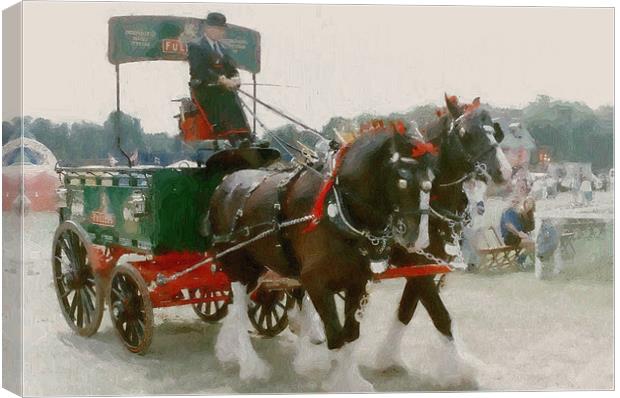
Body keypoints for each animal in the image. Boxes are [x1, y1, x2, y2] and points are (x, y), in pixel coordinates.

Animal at [208, 125, 436, 388]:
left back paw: (228, 350)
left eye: (432, 180)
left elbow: (351, 335)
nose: (420, 239)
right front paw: (339, 382)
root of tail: (225, 183)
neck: (337, 210)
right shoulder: (315, 283)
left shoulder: (357, 281)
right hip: (239, 267)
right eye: (402, 179)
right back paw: (250, 366)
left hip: (258, 269)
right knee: (238, 312)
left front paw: (352, 381)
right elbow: (335, 336)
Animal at [372, 95, 512, 372]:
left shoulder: (422, 267)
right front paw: (463, 369)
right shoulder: (416, 264)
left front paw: (387, 357)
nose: (504, 170)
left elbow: (406, 310)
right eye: (465, 132)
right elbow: (440, 315)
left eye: (494, 131)